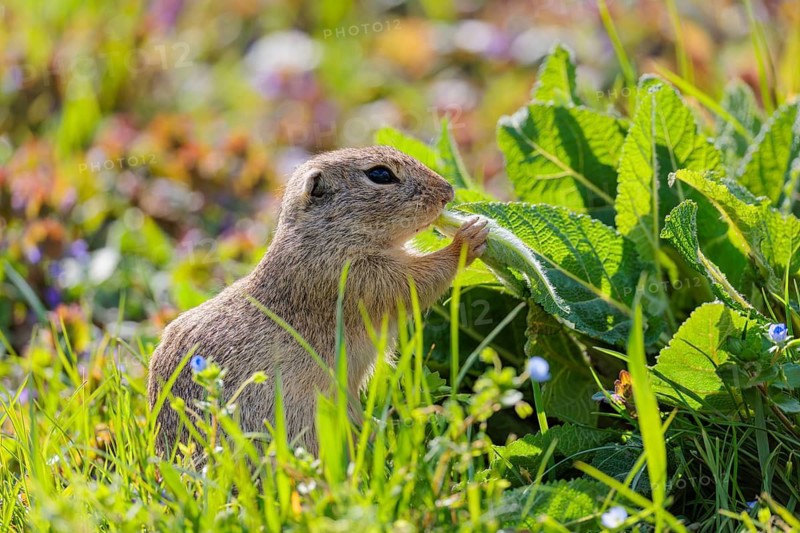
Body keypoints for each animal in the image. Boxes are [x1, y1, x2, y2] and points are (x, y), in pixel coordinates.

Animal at [147, 146, 489, 456]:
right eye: (380, 174)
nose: (448, 192)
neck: (324, 236)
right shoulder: (356, 277)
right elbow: (416, 282)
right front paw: (468, 237)